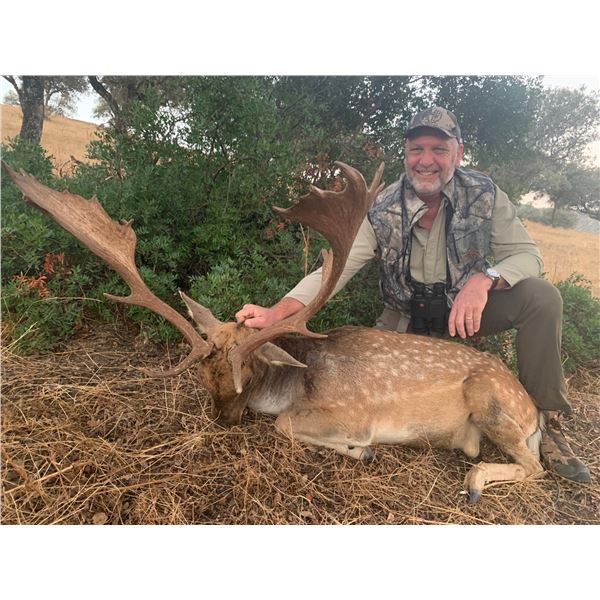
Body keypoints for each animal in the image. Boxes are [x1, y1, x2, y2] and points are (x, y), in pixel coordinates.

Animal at [2, 159, 544, 503]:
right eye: (203, 378)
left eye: (245, 378)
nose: (223, 421)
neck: (296, 382)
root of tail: (534, 412)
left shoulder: (353, 411)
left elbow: (288, 425)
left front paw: (361, 451)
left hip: (492, 402)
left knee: (534, 468)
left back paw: (475, 481)